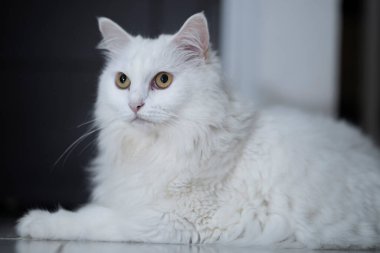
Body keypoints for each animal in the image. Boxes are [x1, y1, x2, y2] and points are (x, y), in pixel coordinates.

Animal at [17, 12, 380, 249]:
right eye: (122, 81)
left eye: (163, 80)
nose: (134, 105)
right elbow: (93, 211)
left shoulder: (167, 221)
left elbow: (90, 219)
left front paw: (34, 222)